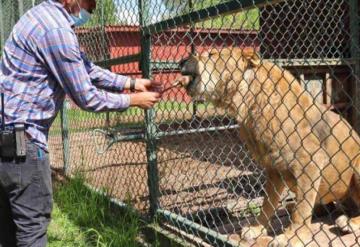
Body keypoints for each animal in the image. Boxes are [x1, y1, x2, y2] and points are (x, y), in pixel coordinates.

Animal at [179, 47, 360, 246]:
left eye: (211, 54)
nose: (181, 61)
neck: (247, 101)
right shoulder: (273, 167)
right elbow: (268, 203)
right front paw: (256, 228)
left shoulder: (311, 163)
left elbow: (302, 209)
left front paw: (292, 237)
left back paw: (348, 223)